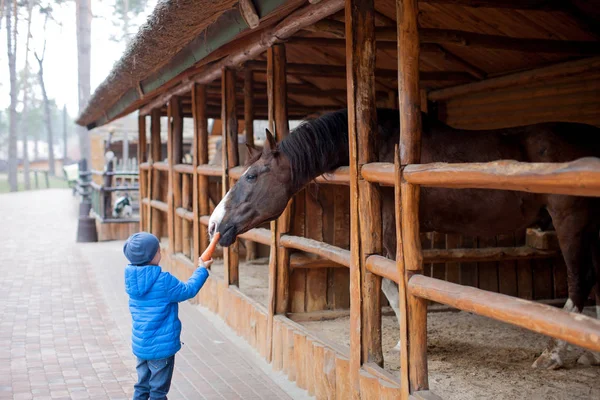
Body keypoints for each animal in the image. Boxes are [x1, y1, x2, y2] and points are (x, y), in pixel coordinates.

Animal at [207, 108, 600, 368]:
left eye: (253, 176)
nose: (214, 225)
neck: (380, 148)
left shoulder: (390, 232)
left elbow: (392, 283)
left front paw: (405, 343)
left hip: (570, 220)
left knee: (579, 281)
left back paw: (555, 354)